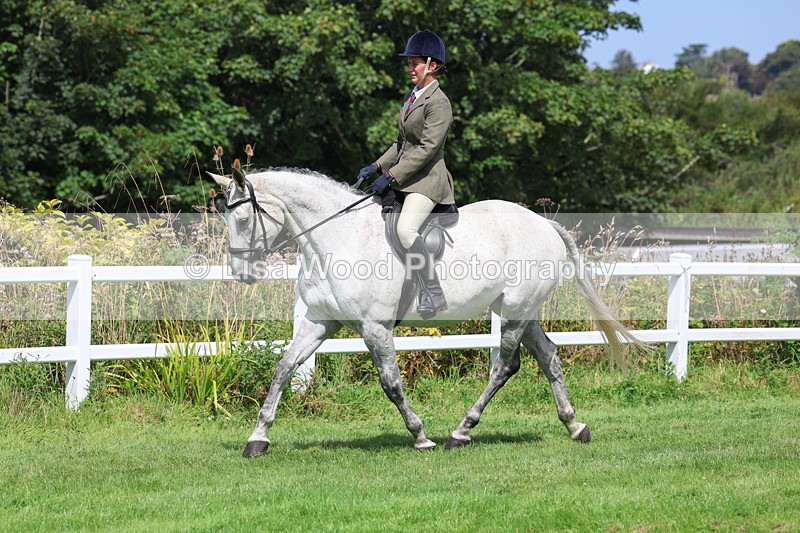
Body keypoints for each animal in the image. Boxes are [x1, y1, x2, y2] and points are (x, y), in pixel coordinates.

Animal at [208, 167, 645, 457]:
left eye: (243, 218)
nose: (242, 273)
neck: (338, 238)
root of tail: (542, 222)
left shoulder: (375, 327)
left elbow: (391, 385)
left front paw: (420, 436)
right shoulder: (320, 322)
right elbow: (283, 369)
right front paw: (258, 438)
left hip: (517, 309)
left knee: (505, 365)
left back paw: (460, 432)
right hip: (522, 309)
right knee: (548, 356)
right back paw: (575, 425)